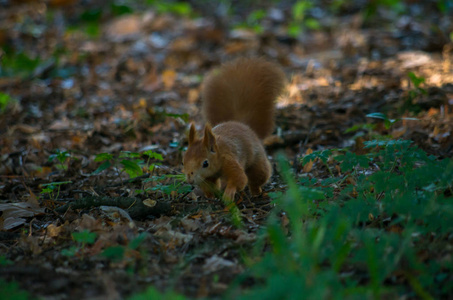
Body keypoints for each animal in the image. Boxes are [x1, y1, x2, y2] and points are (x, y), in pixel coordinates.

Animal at [182, 57, 284, 200]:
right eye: (183, 161)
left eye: (205, 163)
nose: (190, 180)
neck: (218, 153)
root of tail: (243, 125)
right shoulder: (207, 177)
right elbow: (208, 185)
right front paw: (210, 195)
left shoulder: (229, 161)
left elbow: (239, 179)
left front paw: (229, 193)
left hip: (257, 160)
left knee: (258, 176)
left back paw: (256, 192)